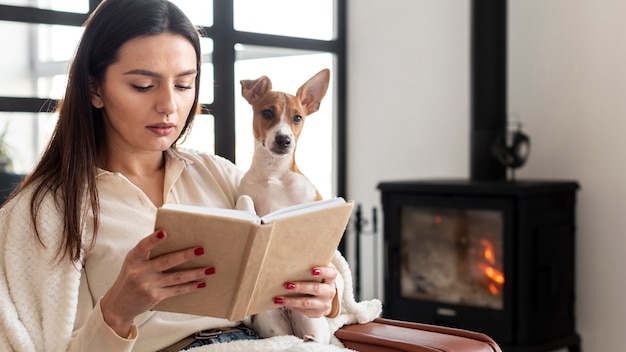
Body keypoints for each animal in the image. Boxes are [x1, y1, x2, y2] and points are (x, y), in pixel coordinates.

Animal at [234, 68, 332, 340]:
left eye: (297, 118)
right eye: (267, 113)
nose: (284, 139)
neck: (273, 174)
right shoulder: (245, 192)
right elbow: (245, 199)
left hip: (312, 322)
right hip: (271, 324)